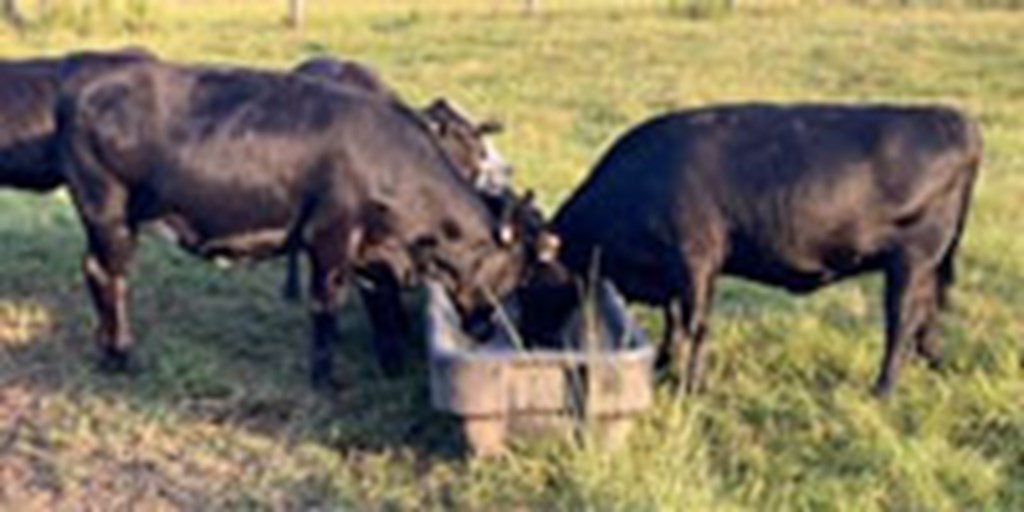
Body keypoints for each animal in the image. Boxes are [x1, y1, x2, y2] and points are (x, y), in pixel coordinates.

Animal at [58, 59, 544, 387]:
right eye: (515, 275)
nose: (486, 330)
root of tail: (88, 89)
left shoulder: (372, 254)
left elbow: (383, 309)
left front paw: (392, 366)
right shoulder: (331, 238)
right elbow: (326, 306)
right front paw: (326, 378)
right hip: (108, 213)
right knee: (107, 275)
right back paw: (120, 355)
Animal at [520, 103, 983, 397]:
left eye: (527, 277)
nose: (527, 341)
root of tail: (951, 117)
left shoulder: (696, 259)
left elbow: (695, 323)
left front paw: (692, 385)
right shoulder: (674, 272)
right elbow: (674, 318)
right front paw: (667, 364)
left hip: (912, 258)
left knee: (902, 320)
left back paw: (883, 389)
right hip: (928, 263)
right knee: (927, 312)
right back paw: (933, 363)